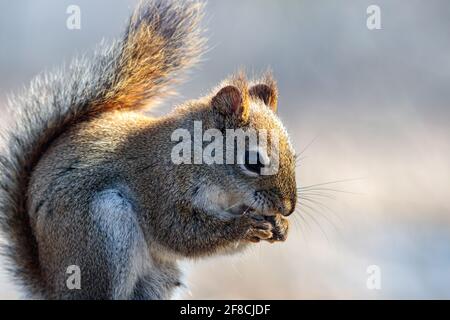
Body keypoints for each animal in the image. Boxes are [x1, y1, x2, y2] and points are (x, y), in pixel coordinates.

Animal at [0, 0, 298, 300]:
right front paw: (244, 226)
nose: (287, 208)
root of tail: (53, 286)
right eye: (253, 162)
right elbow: (182, 233)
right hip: (104, 236)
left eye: (293, 156)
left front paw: (280, 226)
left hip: (158, 277)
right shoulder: (161, 189)